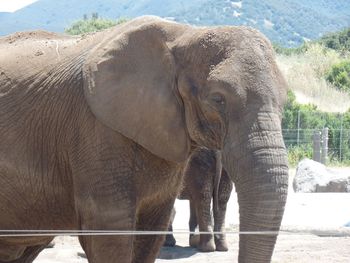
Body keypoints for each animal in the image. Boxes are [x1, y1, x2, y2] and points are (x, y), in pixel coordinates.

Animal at [0, 15, 288, 262]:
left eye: (284, 101)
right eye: (218, 99)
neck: (184, 35)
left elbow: (152, 229)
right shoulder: (95, 130)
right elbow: (109, 230)